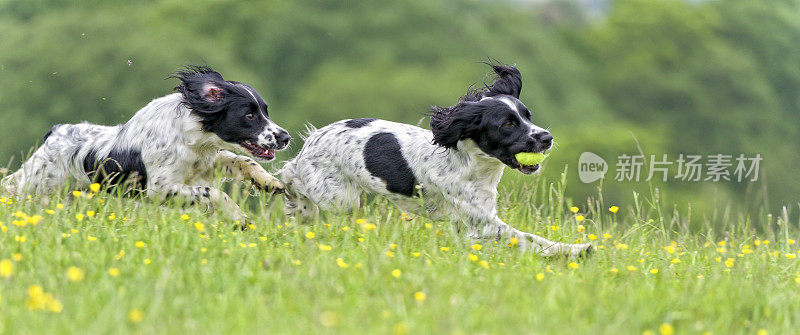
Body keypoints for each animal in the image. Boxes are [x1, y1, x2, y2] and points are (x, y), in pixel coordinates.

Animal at [0, 65, 290, 226]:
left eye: (264, 110)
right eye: (249, 115)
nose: (285, 137)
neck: (189, 137)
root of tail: (54, 133)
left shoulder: (206, 162)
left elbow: (243, 160)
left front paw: (270, 183)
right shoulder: (160, 188)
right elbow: (213, 192)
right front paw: (239, 218)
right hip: (34, 190)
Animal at [278, 62, 592, 258]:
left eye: (528, 116)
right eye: (507, 124)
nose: (546, 137)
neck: (472, 166)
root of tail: (312, 139)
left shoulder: (472, 222)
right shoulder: (483, 222)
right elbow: (530, 238)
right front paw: (578, 250)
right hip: (339, 199)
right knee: (291, 178)